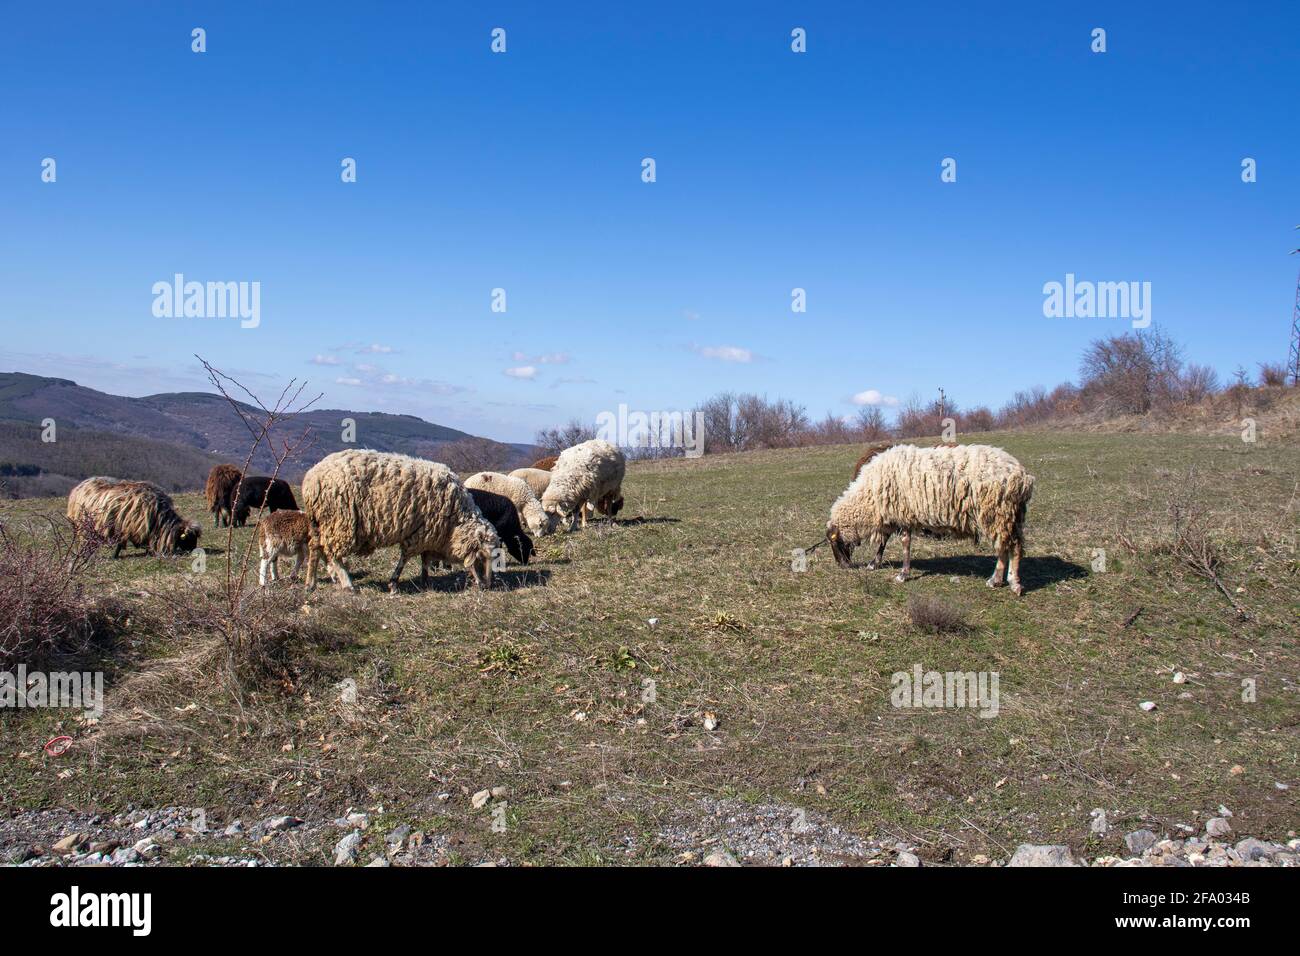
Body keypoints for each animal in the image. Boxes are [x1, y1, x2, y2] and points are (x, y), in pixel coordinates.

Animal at [67, 478, 200, 561]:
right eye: (188, 538)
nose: (194, 551)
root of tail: (78, 487)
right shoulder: (126, 526)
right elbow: (121, 544)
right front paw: (115, 556)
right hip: (81, 523)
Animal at [301, 447, 499, 590]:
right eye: (481, 556)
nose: (486, 586)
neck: (455, 521)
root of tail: (312, 477)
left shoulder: (428, 534)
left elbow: (425, 558)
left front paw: (425, 581)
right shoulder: (421, 532)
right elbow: (406, 557)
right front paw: (394, 583)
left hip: (320, 521)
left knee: (315, 547)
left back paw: (311, 583)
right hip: (340, 521)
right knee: (333, 553)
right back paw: (347, 584)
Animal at [832, 444, 1034, 595]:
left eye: (835, 543)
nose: (842, 566)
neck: (869, 494)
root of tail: (1023, 477)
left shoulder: (903, 513)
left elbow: (904, 543)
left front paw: (902, 574)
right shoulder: (900, 515)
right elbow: (892, 540)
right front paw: (880, 565)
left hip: (998, 512)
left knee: (1012, 547)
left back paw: (1011, 582)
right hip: (1009, 516)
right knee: (1006, 546)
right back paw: (998, 580)